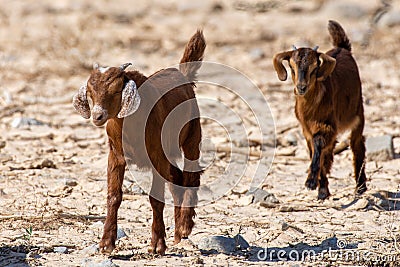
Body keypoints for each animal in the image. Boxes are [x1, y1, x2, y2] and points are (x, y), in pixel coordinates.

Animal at [72, 30, 206, 254]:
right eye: (90, 92)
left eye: (117, 90)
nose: (98, 116)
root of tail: (183, 75)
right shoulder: (116, 155)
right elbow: (114, 196)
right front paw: (106, 243)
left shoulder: (156, 156)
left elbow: (155, 198)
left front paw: (157, 244)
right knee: (177, 178)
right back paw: (178, 234)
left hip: (192, 135)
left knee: (191, 176)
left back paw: (185, 226)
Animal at [274, 21, 368, 200]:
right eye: (292, 66)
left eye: (314, 67)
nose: (301, 87)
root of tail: (342, 48)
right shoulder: (306, 129)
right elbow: (315, 151)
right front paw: (322, 189)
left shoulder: (328, 125)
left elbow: (319, 146)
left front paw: (311, 182)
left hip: (358, 115)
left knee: (357, 145)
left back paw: (361, 187)